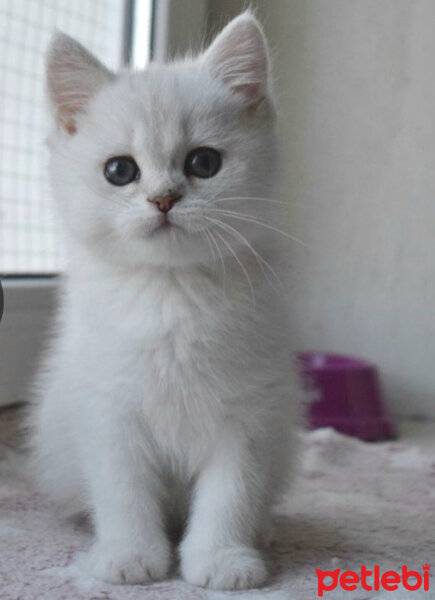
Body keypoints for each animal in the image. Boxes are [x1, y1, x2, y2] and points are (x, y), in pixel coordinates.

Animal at [29, 12, 304, 592]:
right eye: (120, 171)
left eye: (203, 162)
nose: (163, 199)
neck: (172, 294)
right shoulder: (108, 411)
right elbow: (123, 493)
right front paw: (129, 555)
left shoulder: (249, 413)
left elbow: (231, 493)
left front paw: (221, 558)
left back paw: (263, 531)